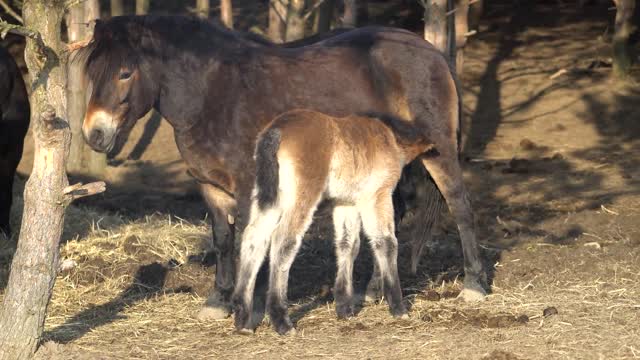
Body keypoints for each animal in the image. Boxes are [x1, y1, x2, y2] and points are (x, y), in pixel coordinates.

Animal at [234, 110, 436, 334]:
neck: (392, 138)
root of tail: (276, 130)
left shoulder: (346, 202)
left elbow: (348, 244)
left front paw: (344, 308)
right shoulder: (376, 196)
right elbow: (386, 242)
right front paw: (399, 308)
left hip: (269, 197)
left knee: (254, 237)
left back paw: (243, 319)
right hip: (302, 194)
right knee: (283, 240)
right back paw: (282, 321)